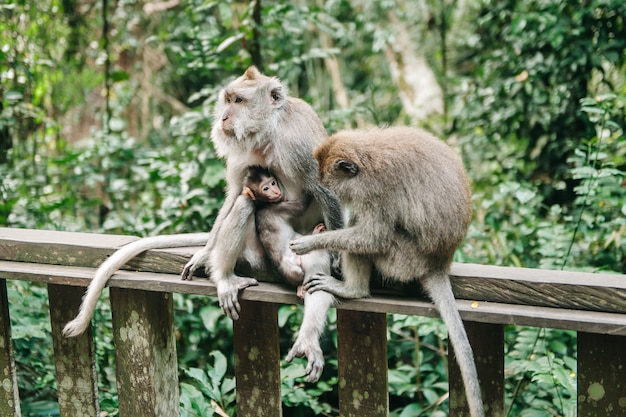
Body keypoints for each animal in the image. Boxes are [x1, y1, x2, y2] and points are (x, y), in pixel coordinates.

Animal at [288, 126, 482, 416]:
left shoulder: (375, 190)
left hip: (402, 260)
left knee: (371, 240)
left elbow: (374, 238)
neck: (366, 157)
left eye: (331, 185)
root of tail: (439, 263)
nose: (337, 196)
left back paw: (353, 290)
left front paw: (313, 242)